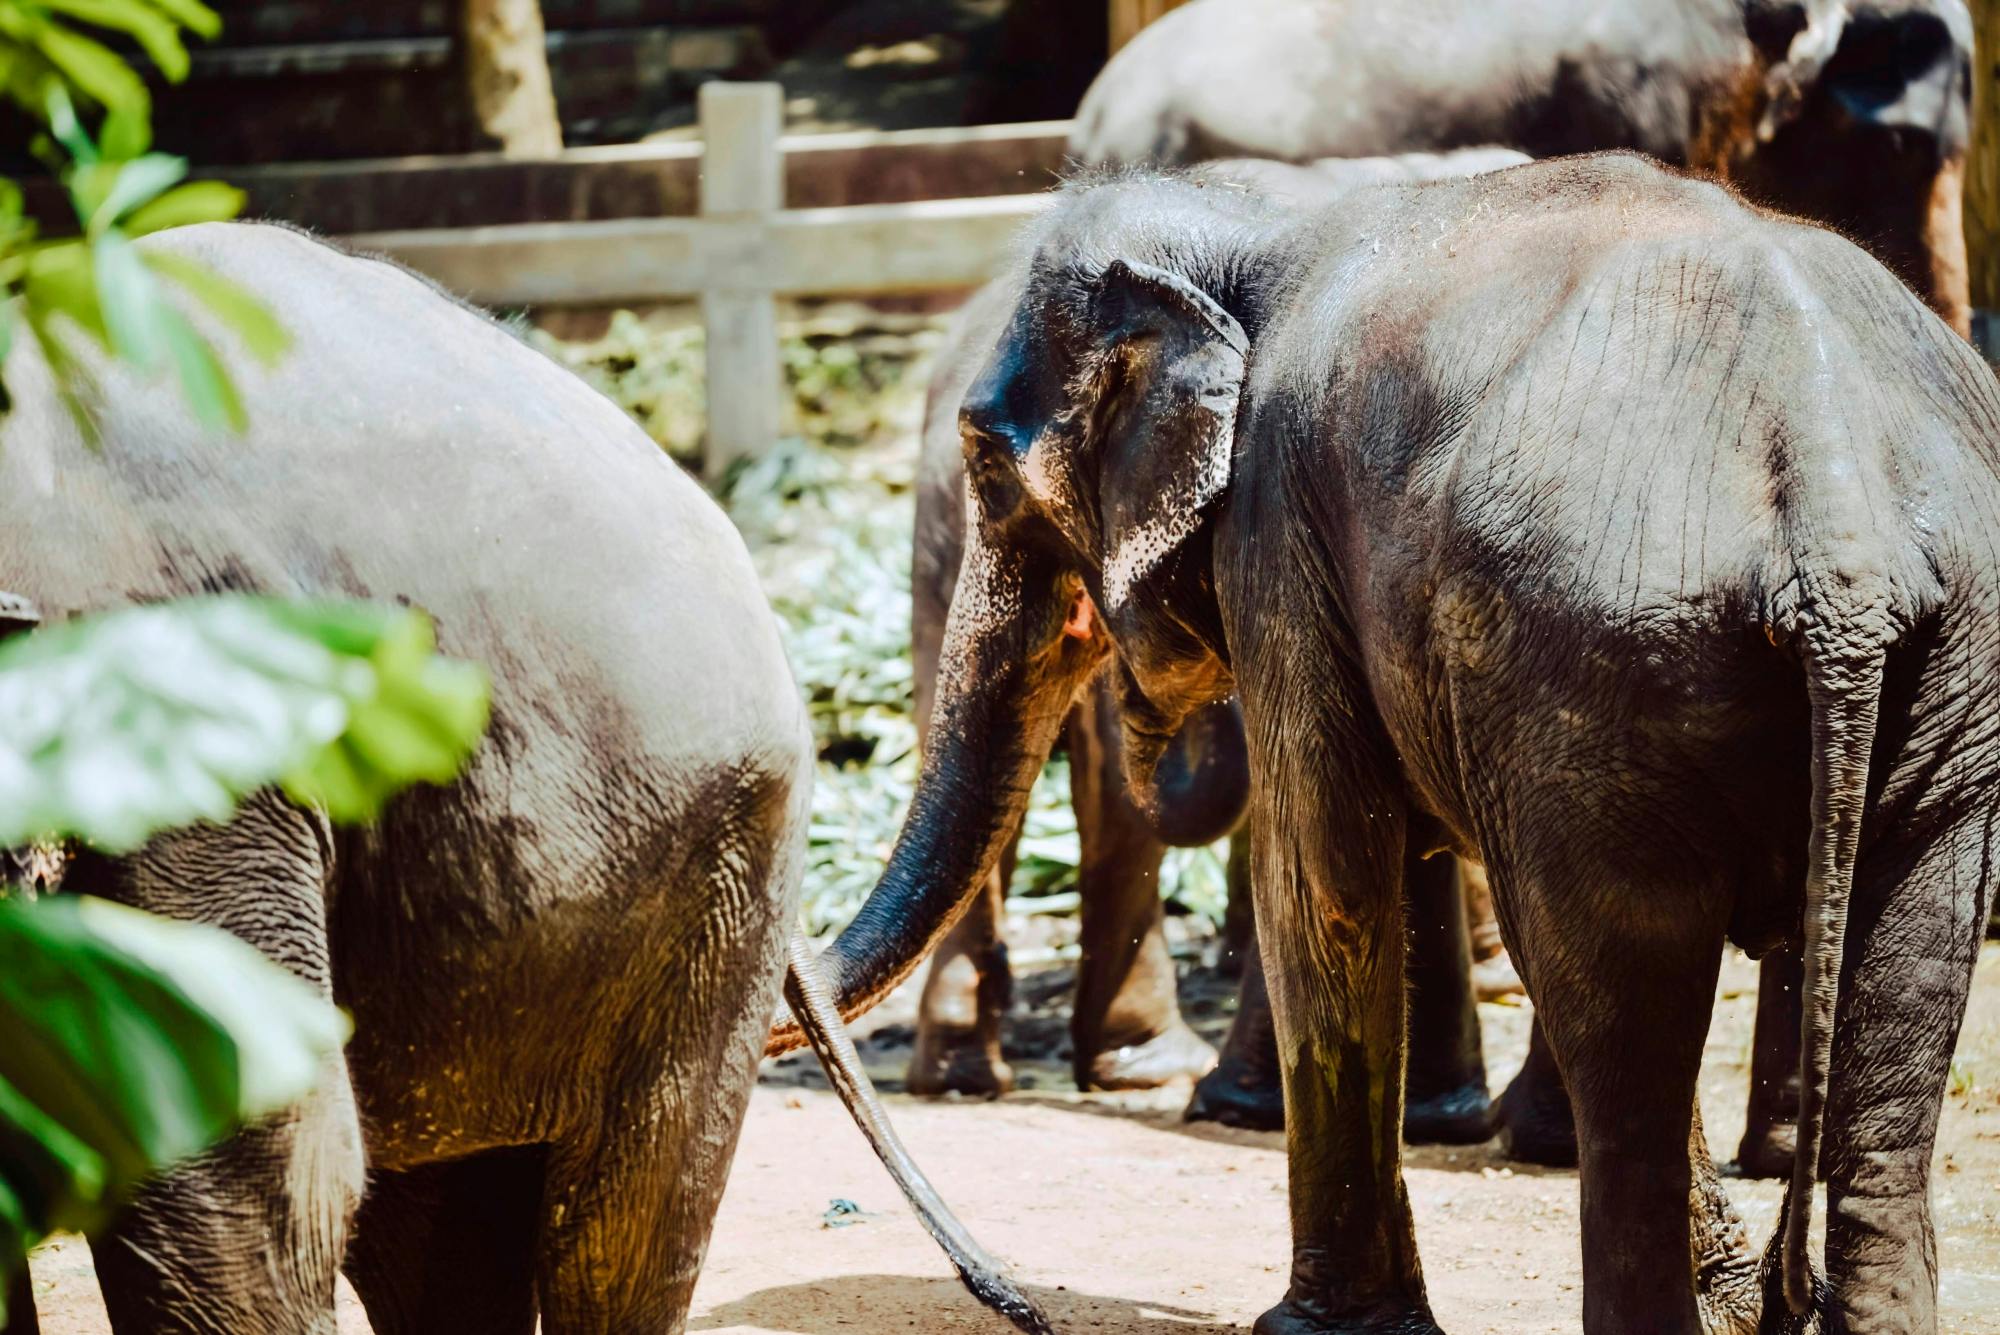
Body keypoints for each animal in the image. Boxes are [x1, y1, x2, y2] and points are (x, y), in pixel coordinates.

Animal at [772, 158, 2000, 1335]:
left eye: (984, 465)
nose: (1011, 1299)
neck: (1256, 228)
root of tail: (1833, 519)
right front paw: (1735, 1304)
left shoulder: (1275, 522)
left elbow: (1325, 878)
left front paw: (1312, 1329)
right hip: (1940, 682)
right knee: (1896, 1007)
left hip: (1604, 665)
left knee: (1608, 998)